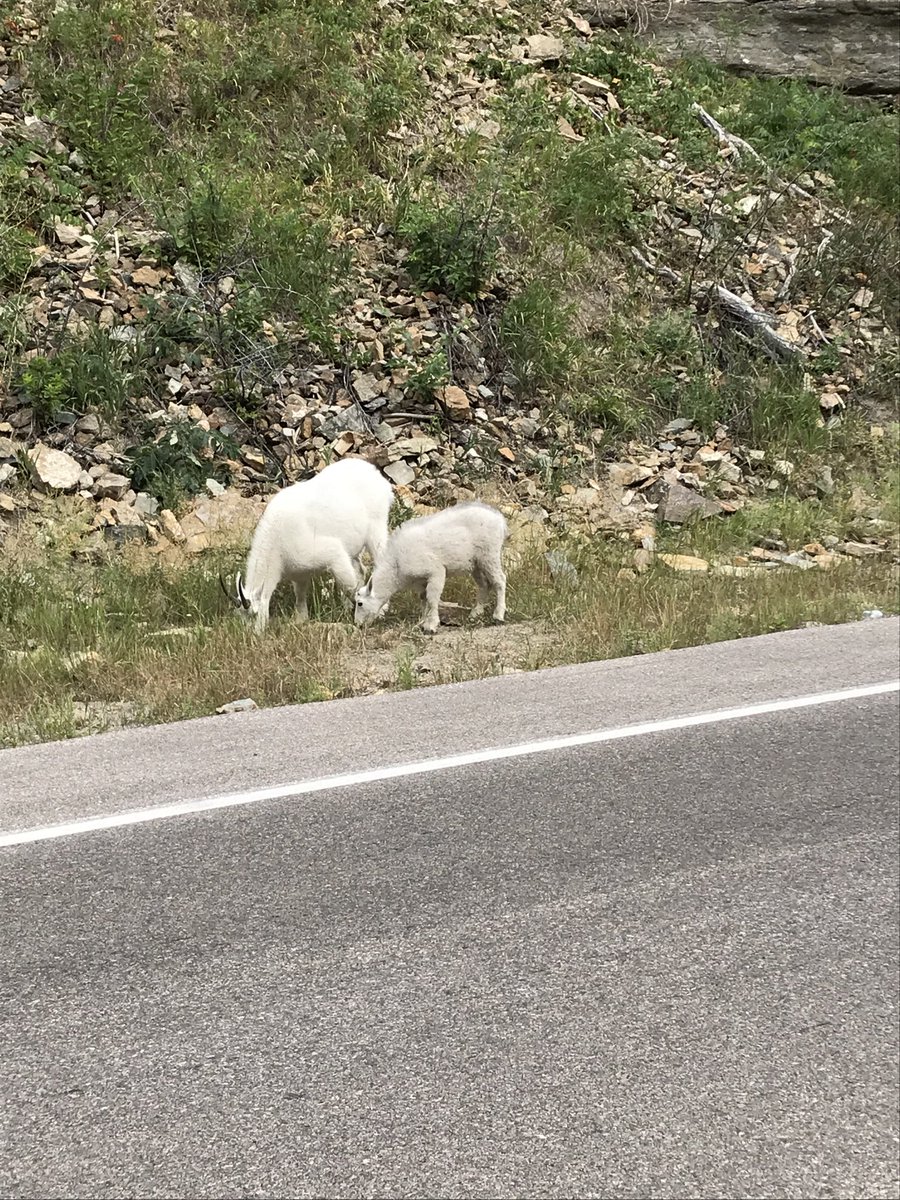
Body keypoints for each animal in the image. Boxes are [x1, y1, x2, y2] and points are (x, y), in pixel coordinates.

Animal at [223, 458, 394, 632]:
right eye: (239, 616)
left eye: (255, 614)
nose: (252, 634)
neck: (277, 545)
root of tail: (376, 475)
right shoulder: (298, 570)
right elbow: (300, 593)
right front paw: (301, 618)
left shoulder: (331, 552)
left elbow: (349, 586)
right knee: (360, 568)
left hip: (377, 528)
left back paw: (383, 608)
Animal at [354, 501, 507, 634]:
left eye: (360, 603)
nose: (358, 624)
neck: (396, 566)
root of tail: (500, 520)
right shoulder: (420, 581)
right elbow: (424, 600)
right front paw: (422, 622)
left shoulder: (435, 571)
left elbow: (432, 598)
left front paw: (431, 626)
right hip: (476, 563)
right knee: (484, 585)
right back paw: (476, 613)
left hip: (490, 554)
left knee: (500, 580)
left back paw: (498, 615)